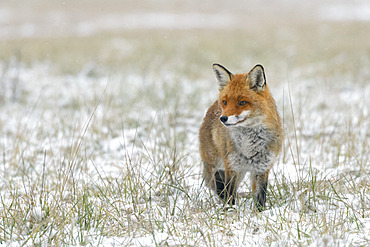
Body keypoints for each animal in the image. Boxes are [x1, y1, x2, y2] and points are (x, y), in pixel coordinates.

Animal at [199, 63, 284, 210]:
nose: (223, 118)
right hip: (217, 163)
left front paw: (260, 213)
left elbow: (260, 197)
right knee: (217, 182)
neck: (249, 145)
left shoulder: (262, 168)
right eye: (225, 102)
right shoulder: (231, 166)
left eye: (242, 102)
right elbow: (229, 195)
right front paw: (229, 211)